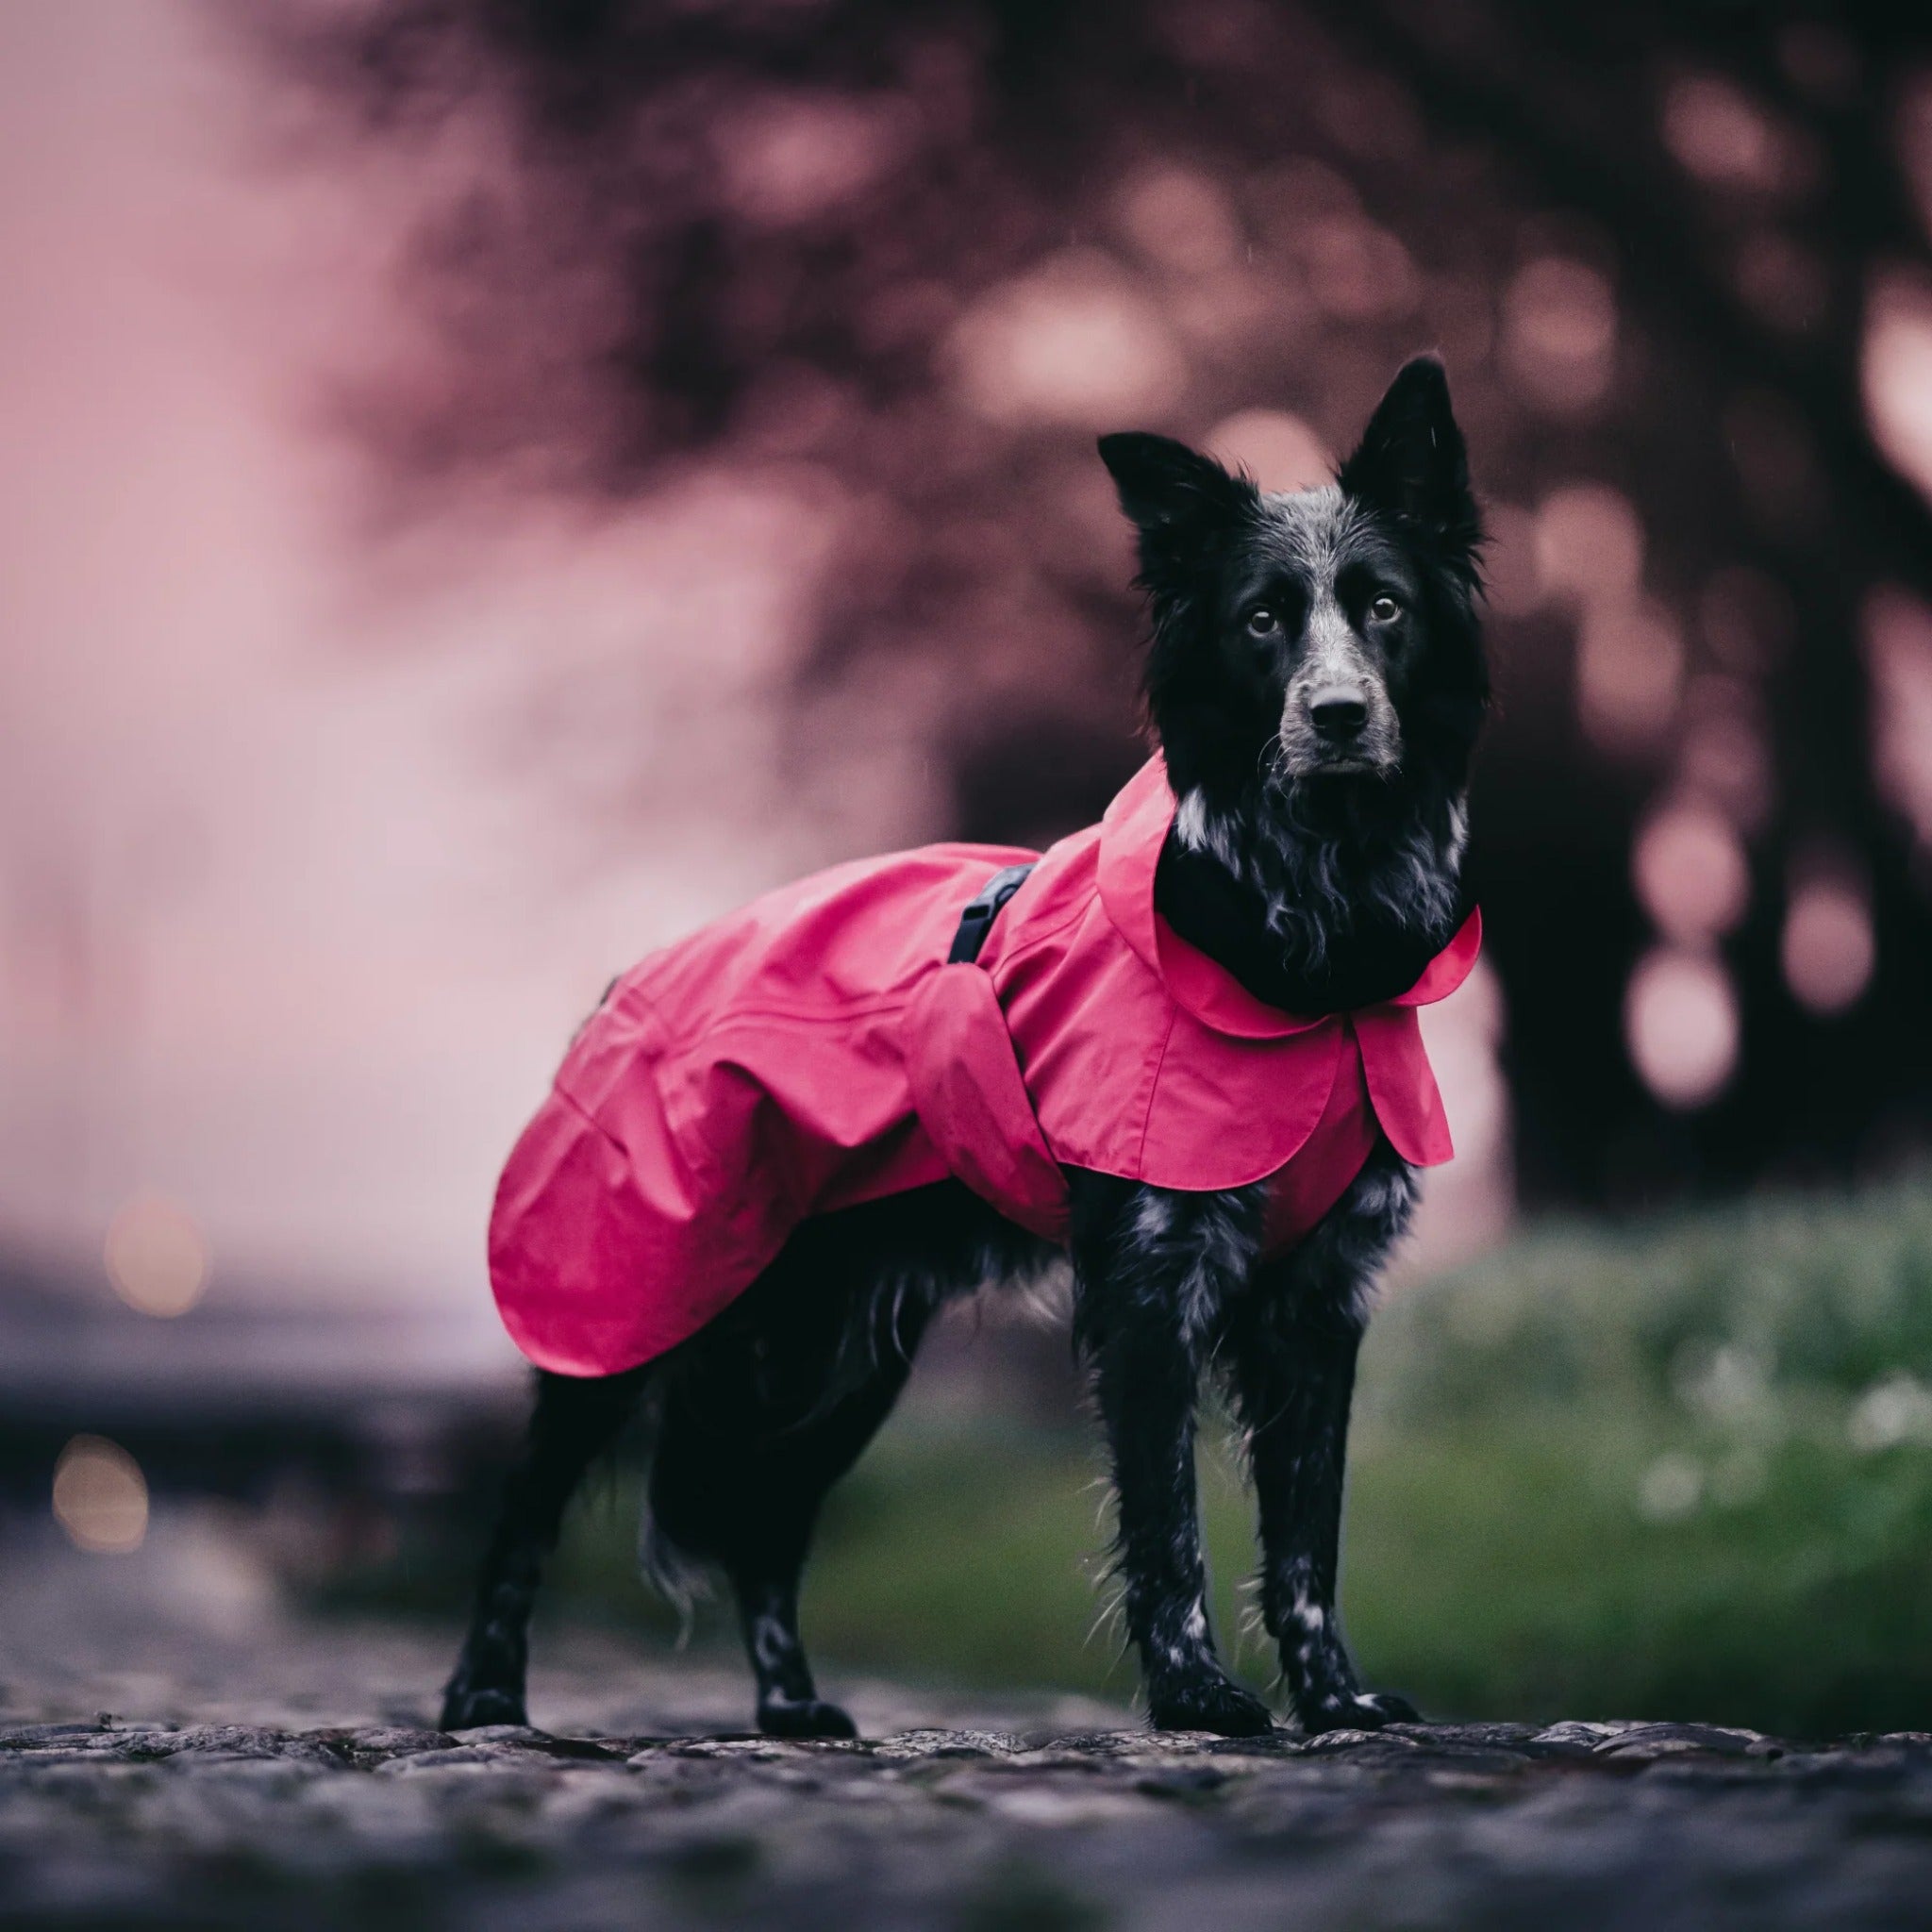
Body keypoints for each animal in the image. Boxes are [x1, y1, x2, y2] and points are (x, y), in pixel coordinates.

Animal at [444, 355, 1483, 1746]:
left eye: (1382, 607)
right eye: (1260, 621)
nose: (1333, 714)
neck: (1309, 934)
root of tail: (633, 981)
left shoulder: (1320, 1298)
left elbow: (1308, 1533)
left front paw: (1334, 1699)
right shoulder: (1151, 1283)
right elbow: (1171, 1527)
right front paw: (1196, 1696)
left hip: (835, 1359)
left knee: (767, 1525)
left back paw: (792, 1705)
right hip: (633, 1304)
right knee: (532, 1499)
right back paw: (483, 1694)